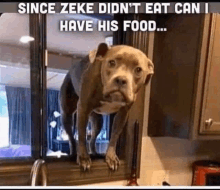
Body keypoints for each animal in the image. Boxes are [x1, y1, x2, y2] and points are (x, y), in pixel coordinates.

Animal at [59, 43, 154, 171]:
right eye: (112, 62)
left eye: (138, 69)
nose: (121, 79)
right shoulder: (83, 108)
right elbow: (82, 134)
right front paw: (83, 157)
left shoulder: (123, 114)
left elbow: (114, 135)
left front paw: (111, 157)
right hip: (67, 114)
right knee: (71, 137)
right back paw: (74, 153)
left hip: (98, 121)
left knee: (92, 139)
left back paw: (95, 153)